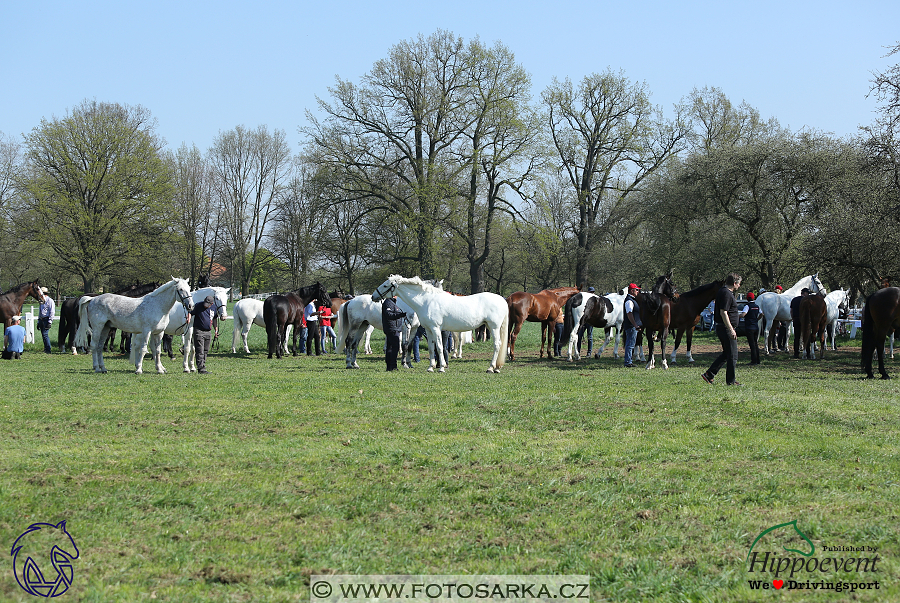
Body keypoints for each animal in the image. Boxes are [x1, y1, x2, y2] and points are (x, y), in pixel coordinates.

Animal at [370, 274, 506, 372]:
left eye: (385, 285)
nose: (373, 296)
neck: (427, 301)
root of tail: (502, 300)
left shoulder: (436, 328)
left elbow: (440, 347)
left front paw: (441, 367)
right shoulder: (429, 329)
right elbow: (431, 348)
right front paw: (431, 367)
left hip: (494, 327)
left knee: (497, 345)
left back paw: (491, 368)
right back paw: (496, 368)